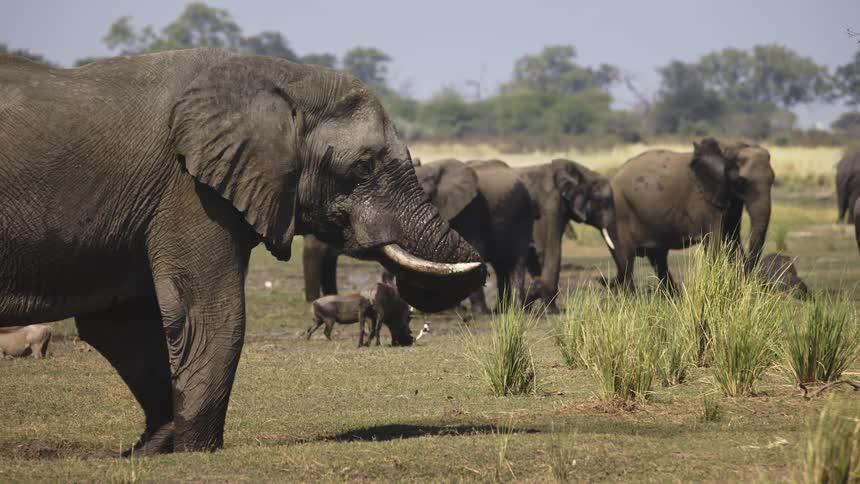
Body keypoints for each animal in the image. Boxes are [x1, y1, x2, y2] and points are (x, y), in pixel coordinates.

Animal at [0, 48, 485, 454]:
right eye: (363, 167)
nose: (480, 266)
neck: (279, 78)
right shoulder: (188, 191)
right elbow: (211, 314)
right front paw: (196, 451)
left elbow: (119, 324)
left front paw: (151, 449)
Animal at [303, 159, 536, 313]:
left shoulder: (472, 209)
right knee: (502, 265)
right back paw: (503, 309)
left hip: (522, 217)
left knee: (516, 263)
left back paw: (513, 310)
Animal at [519, 159, 615, 312]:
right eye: (603, 202)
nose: (600, 279)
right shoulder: (549, 204)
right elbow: (551, 248)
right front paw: (553, 311)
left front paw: (533, 295)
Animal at [609, 138, 774, 291]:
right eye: (741, 182)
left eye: (772, 179)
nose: (751, 276)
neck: (726, 149)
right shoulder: (705, 202)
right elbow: (715, 244)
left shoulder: (730, 200)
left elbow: (732, 240)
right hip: (620, 212)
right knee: (628, 260)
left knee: (658, 259)